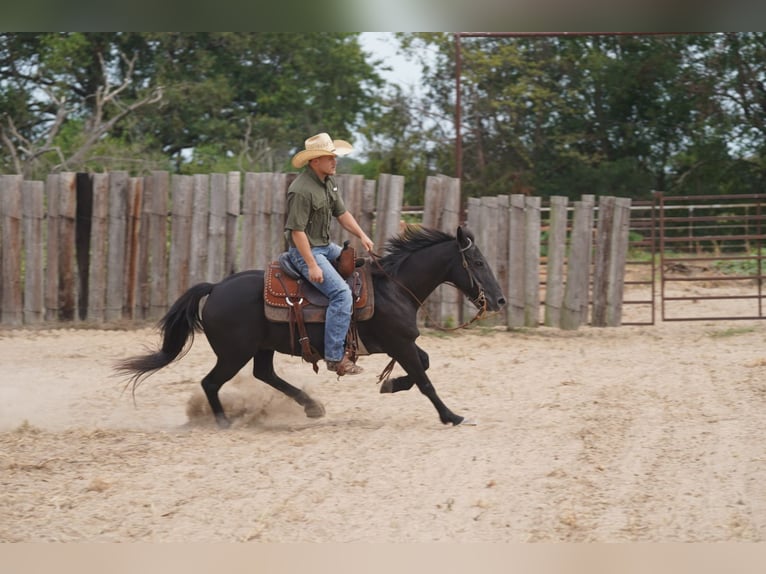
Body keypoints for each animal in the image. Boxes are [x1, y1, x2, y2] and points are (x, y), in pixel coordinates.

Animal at [117, 225, 508, 428]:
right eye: (477, 262)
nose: (500, 300)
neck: (393, 287)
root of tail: (215, 287)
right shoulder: (399, 342)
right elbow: (425, 380)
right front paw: (451, 415)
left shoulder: (402, 343)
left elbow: (422, 367)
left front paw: (390, 384)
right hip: (233, 353)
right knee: (211, 382)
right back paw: (224, 421)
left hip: (261, 348)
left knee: (264, 374)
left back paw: (311, 406)